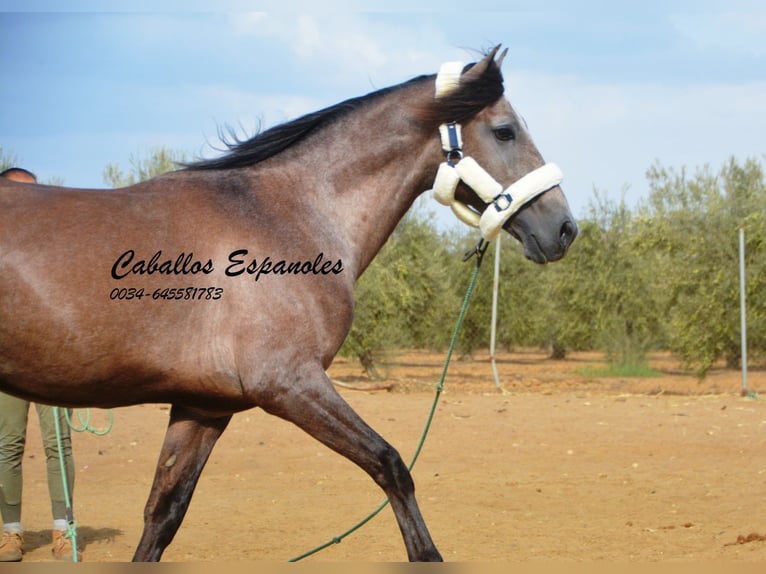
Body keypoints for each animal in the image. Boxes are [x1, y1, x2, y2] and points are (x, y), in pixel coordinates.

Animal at [0, 46, 576, 564]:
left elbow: (163, 514)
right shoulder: (288, 382)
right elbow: (391, 466)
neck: (289, 215)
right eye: (505, 130)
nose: (564, 229)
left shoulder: (203, 406)